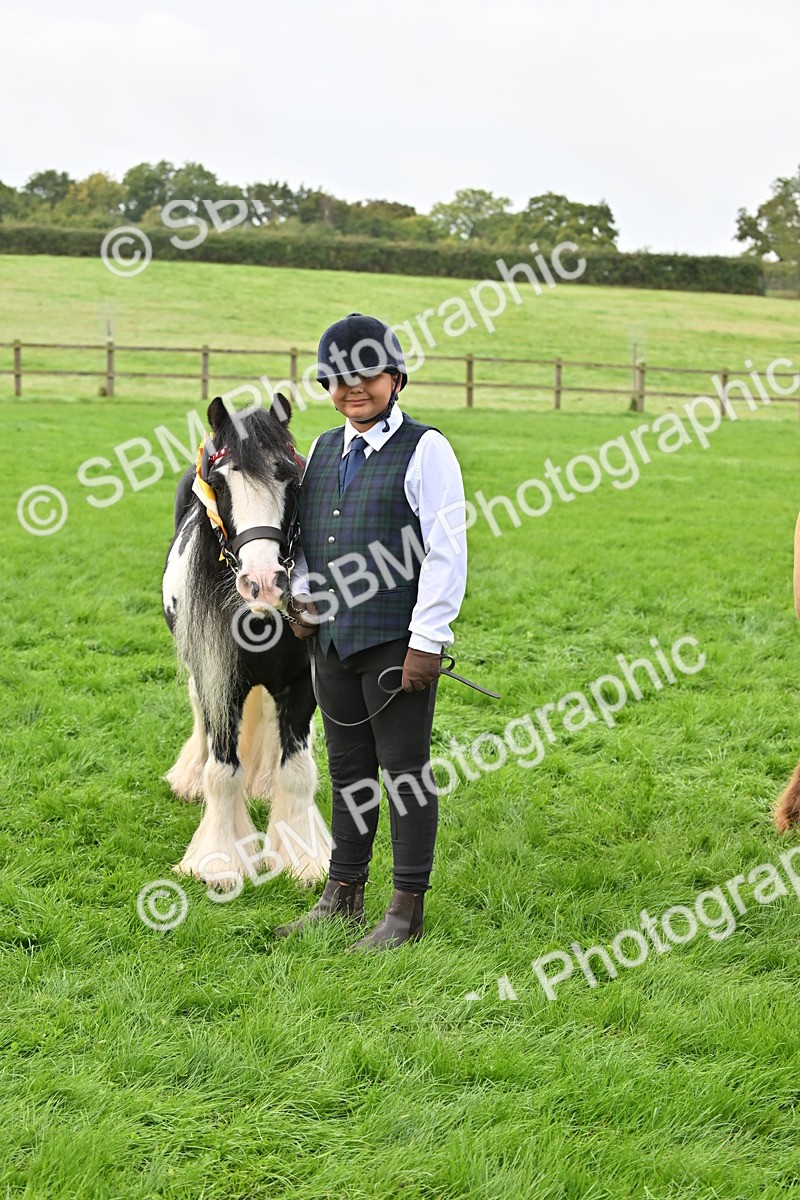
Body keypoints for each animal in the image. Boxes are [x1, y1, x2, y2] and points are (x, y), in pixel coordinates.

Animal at [161, 393, 330, 891]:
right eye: (220, 481)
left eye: (292, 478)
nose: (263, 583)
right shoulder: (219, 680)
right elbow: (223, 770)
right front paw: (218, 860)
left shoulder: (302, 684)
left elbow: (297, 771)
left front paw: (303, 858)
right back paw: (190, 779)